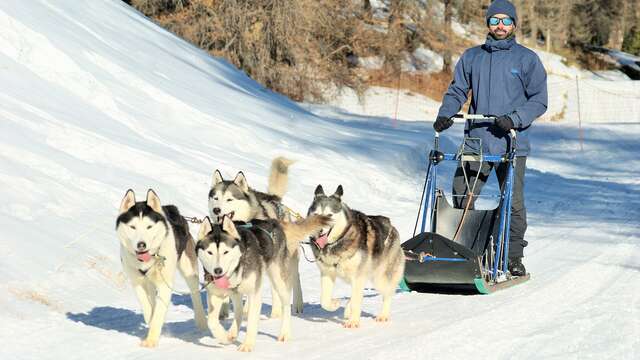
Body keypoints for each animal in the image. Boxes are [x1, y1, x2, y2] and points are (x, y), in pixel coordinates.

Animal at [114, 190, 205, 348]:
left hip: (189, 270)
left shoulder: (165, 284)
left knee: (195, 295)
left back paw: (202, 322)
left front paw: (151, 339)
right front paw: (150, 323)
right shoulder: (137, 282)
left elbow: (159, 312)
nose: (141, 245)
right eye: (133, 227)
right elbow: (147, 307)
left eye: (149, 227)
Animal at [196, 214, 330, 352]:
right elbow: (211, 321)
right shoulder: (215, 295)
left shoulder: (254, 294)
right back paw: (232, 333)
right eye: (210, 252)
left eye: (225, 252)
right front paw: (224, 337)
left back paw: (285, 333)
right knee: (239, 311)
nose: (218, 270)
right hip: (237, 293)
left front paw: (247, 345)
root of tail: (273, 221)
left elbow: (251, 320)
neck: (237, 267)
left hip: (278, 279)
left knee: (285, 304)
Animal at [206, 156, 304, 314]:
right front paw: (223, 311)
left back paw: (292, 306)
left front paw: (246, 310)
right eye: (215, 198)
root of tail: (274, 198)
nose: (216, 210)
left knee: (292, 279)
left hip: (285, 259)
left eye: (229, 199)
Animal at [306, 184, 404, 328]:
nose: (319, 230)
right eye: (316, 214)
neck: (337, 242)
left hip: (380, 278)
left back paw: (383, 315)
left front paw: (353, 322)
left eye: (329, 215)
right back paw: (347, 309)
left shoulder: (358, 276)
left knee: (387, 294)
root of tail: (391, 226)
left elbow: (357, 300)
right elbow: (324, 300)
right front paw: (334, 304)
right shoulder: (327, 273)